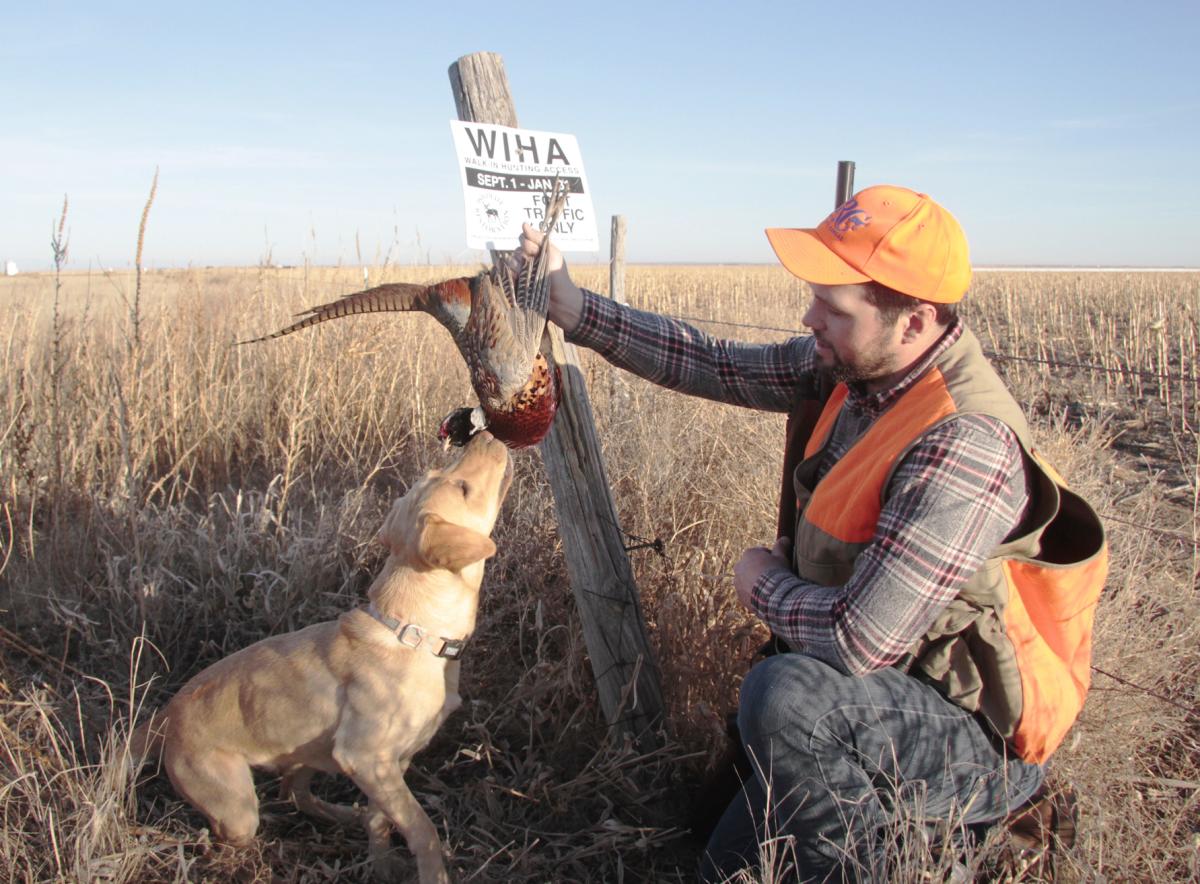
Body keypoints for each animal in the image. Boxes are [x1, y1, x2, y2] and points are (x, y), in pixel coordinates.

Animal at [131, 431, 511, 878]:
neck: (411, 633)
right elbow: (422, 828)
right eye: (463, 488)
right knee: (224, 835)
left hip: (308, 754)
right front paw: (431, 873)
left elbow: (382, 818)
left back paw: (343, 815)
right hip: (235, 807)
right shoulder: (363, 757)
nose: (486, 433)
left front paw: (383, 865)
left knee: (294, 792)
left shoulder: (389, 764)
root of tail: (165, 716)